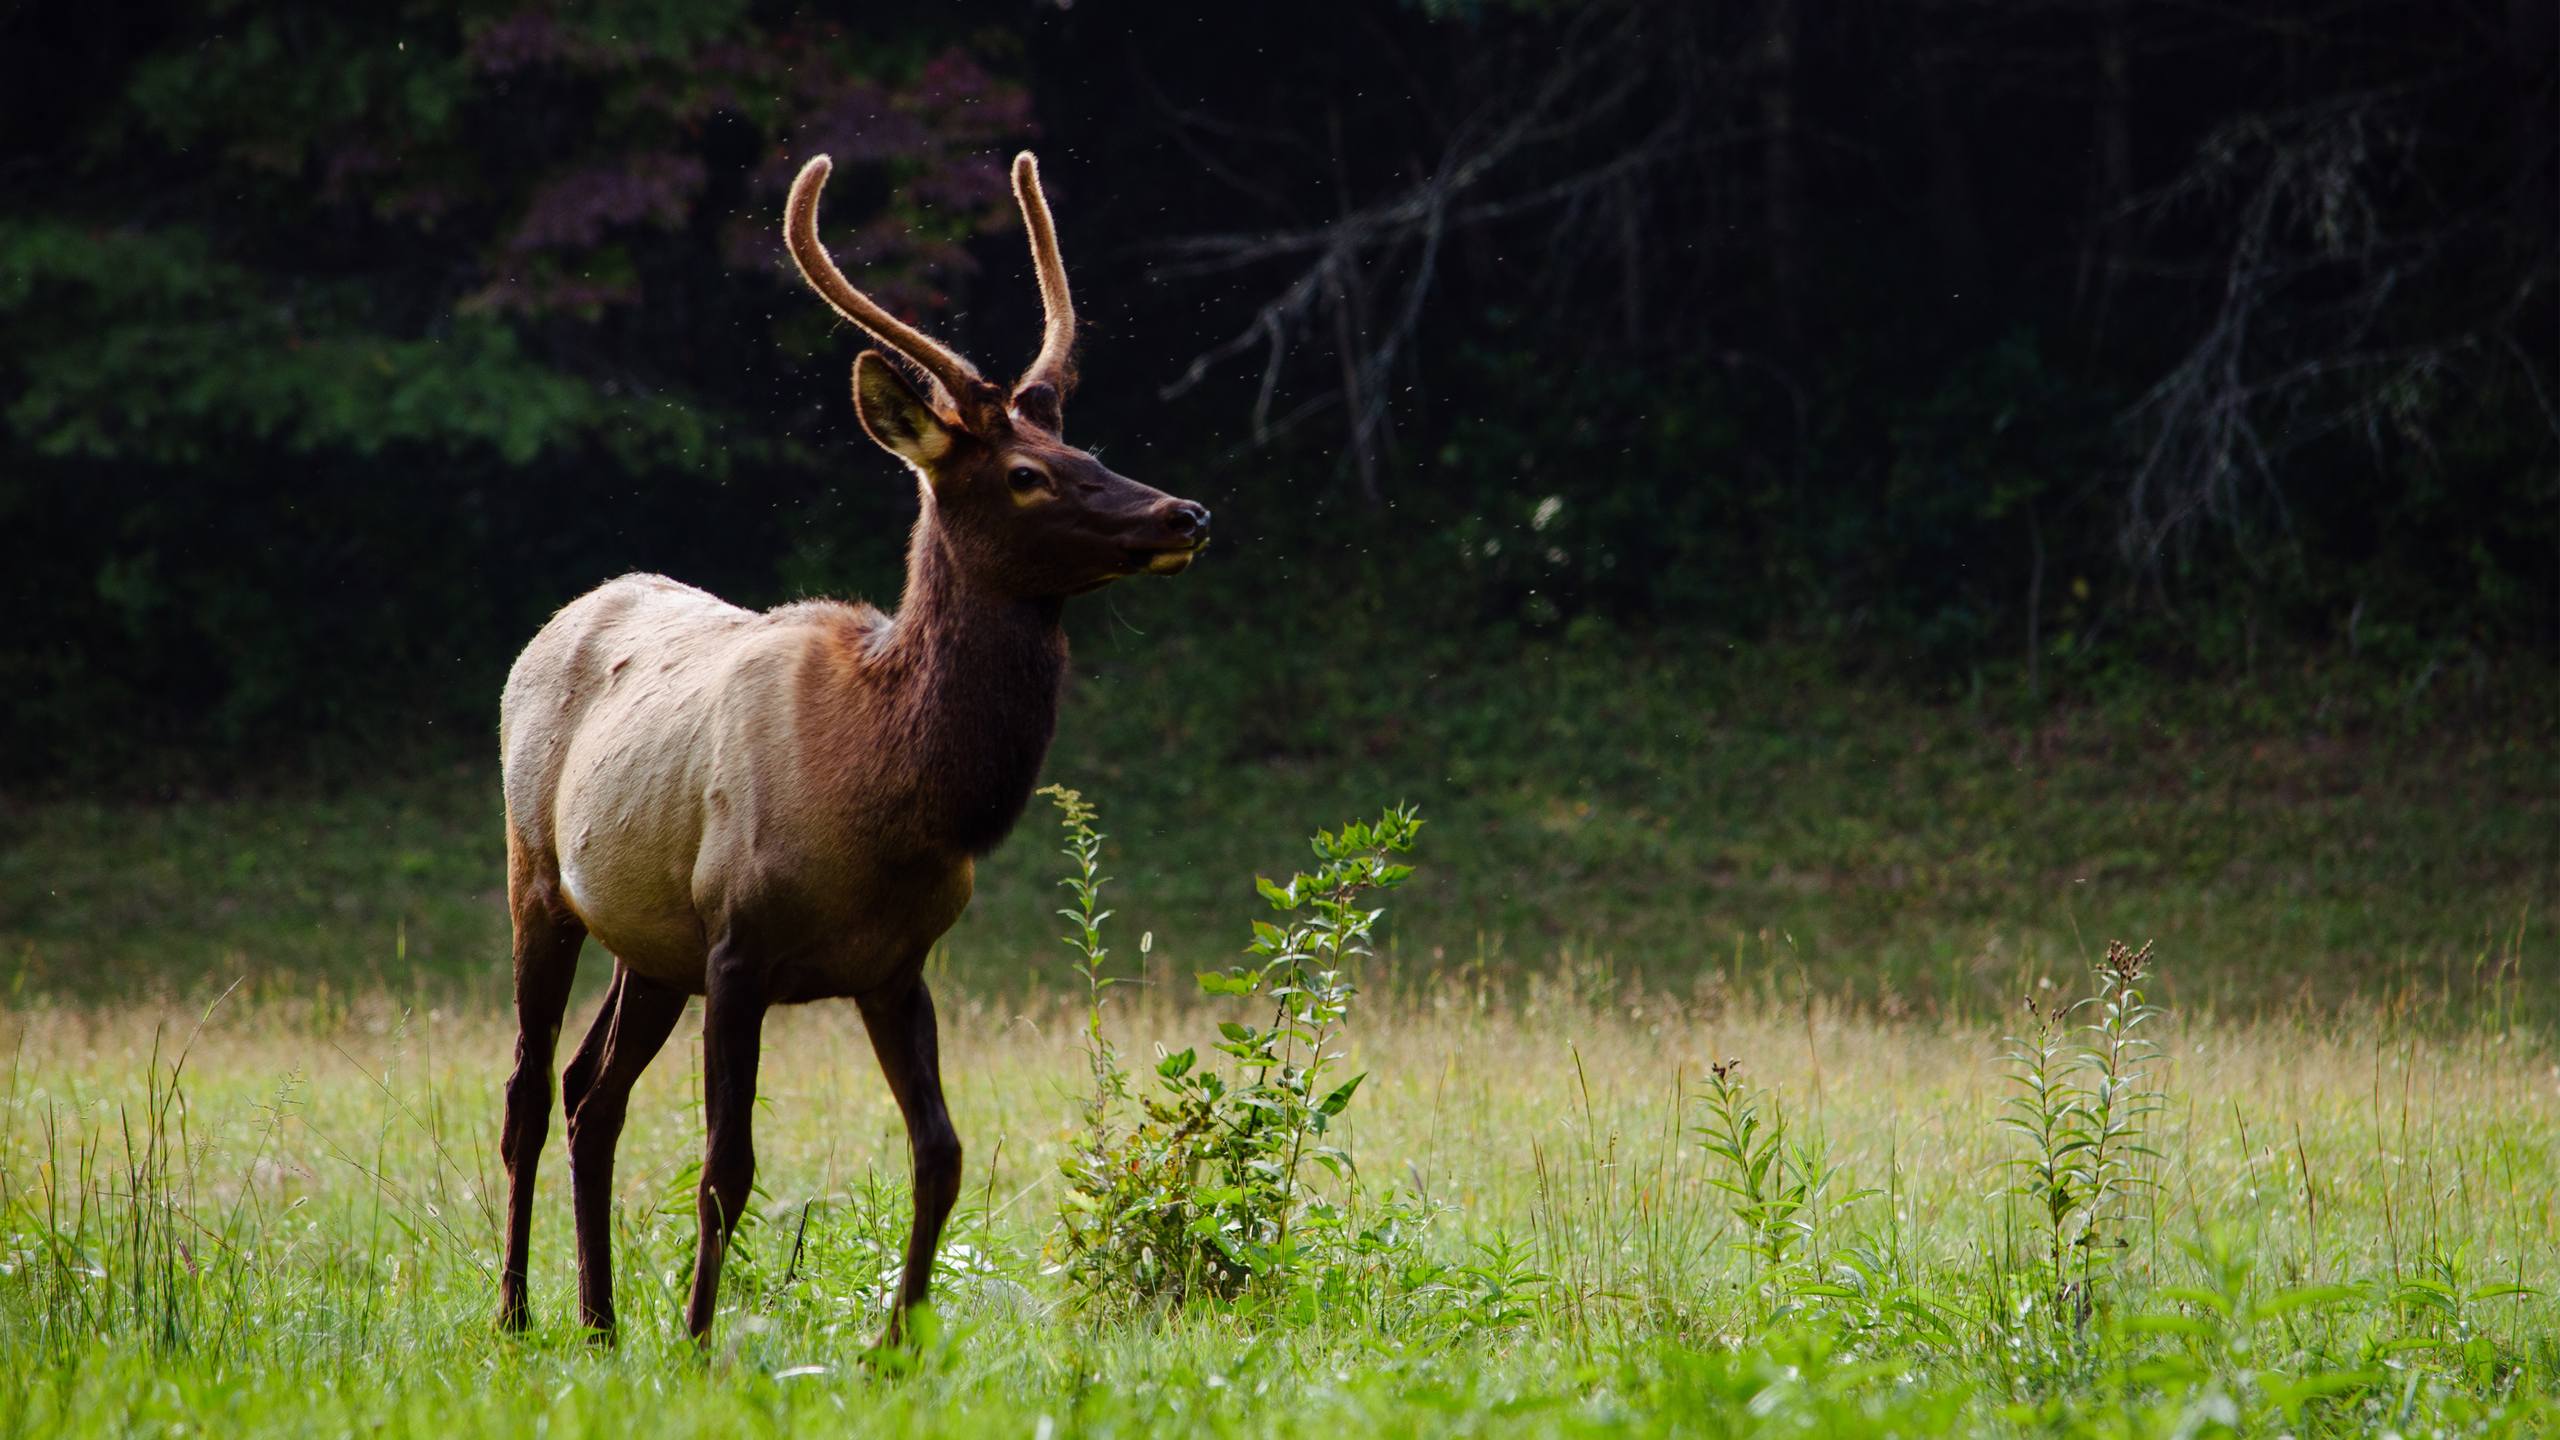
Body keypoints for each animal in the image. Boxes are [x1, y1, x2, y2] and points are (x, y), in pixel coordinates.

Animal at [491, 151, 1208, 1342]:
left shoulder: (896, 963)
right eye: (1023, 474)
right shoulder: (737, 944)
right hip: (538, 876)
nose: (1183, 514)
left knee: (594, 1094)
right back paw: (516, 1313)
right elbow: (726, 1168)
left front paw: (898, 1343)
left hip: (651, 940)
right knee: (527, 1093)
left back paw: (598, 1321)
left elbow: (942, 1155)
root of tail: (558, 620)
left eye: (1084, 448)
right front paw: (699, 1341)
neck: (888, 797)